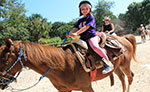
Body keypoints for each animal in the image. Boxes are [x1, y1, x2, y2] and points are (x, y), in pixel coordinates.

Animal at [0, 34, 137, 91]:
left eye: (3, 59)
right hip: (117, 67)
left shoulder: (86, 87)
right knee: (122, 78)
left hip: (125, 65)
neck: (63, 65)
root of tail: (123, 37)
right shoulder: (63, 90)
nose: (1, 83)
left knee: (130, 77)